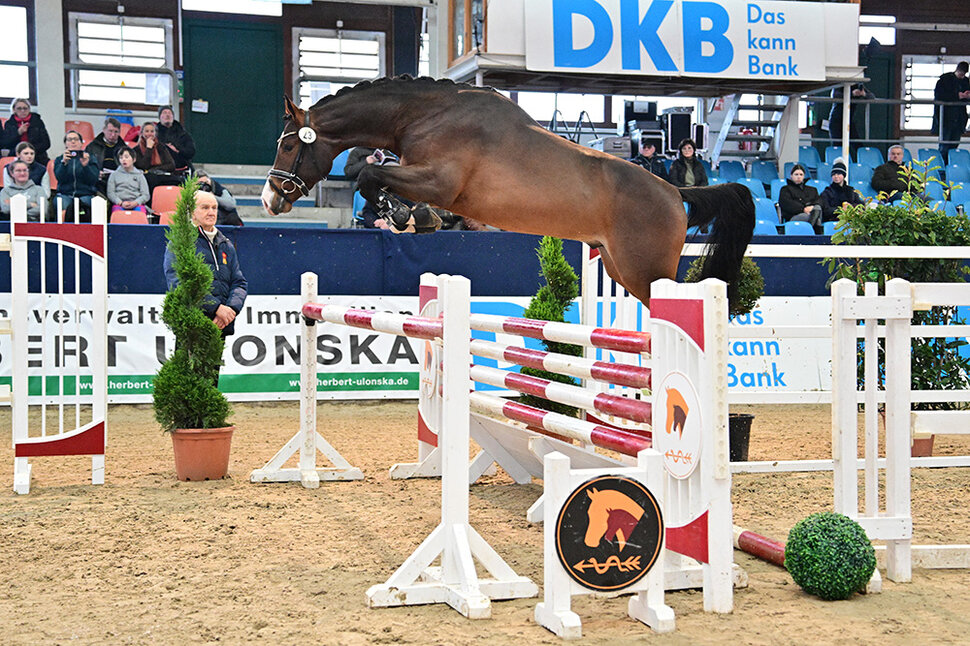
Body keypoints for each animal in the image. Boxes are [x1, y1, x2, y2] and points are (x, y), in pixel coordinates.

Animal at [262, 76, 755, 306]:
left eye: (288, 145)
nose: (270, 199)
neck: (423, 115)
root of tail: (675, 194)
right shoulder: (426, 178)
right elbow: (378, 178)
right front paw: (415, 218)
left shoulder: (439, 179)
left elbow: (371, 178)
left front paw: (405, 216)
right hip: (618, 267)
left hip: (645, 271)